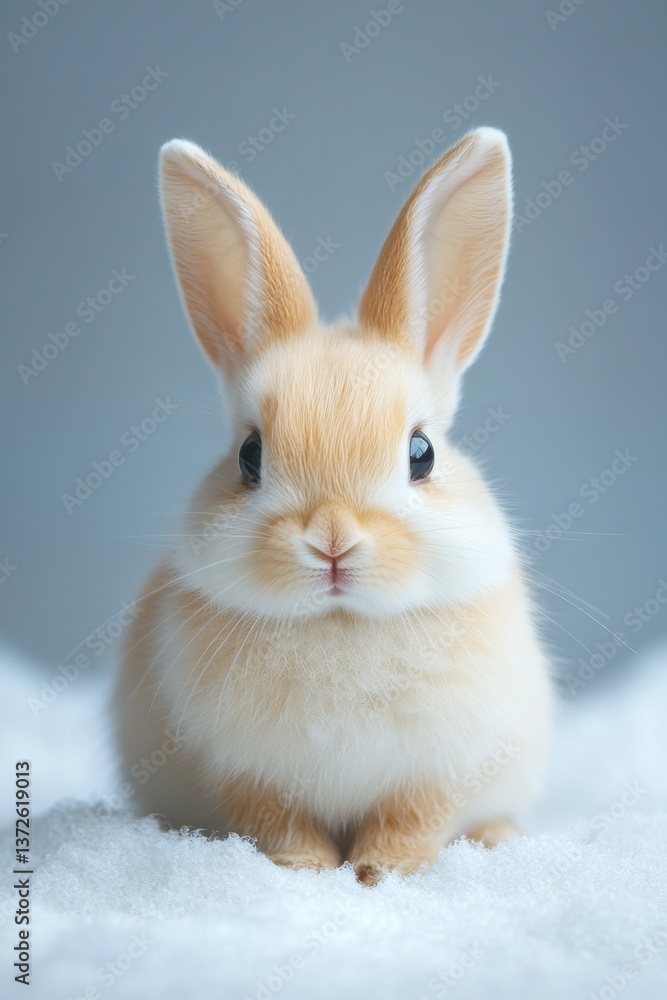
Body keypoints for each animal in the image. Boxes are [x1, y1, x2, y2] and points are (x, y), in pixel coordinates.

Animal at [116, 127, 553, 885]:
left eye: (421, 454)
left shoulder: (439, 770)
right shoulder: (245, 771)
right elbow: (278, 822)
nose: (332, 542)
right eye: (249, 457)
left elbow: (412, 820)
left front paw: (384, 872)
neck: (340, 626)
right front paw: (307, 871)